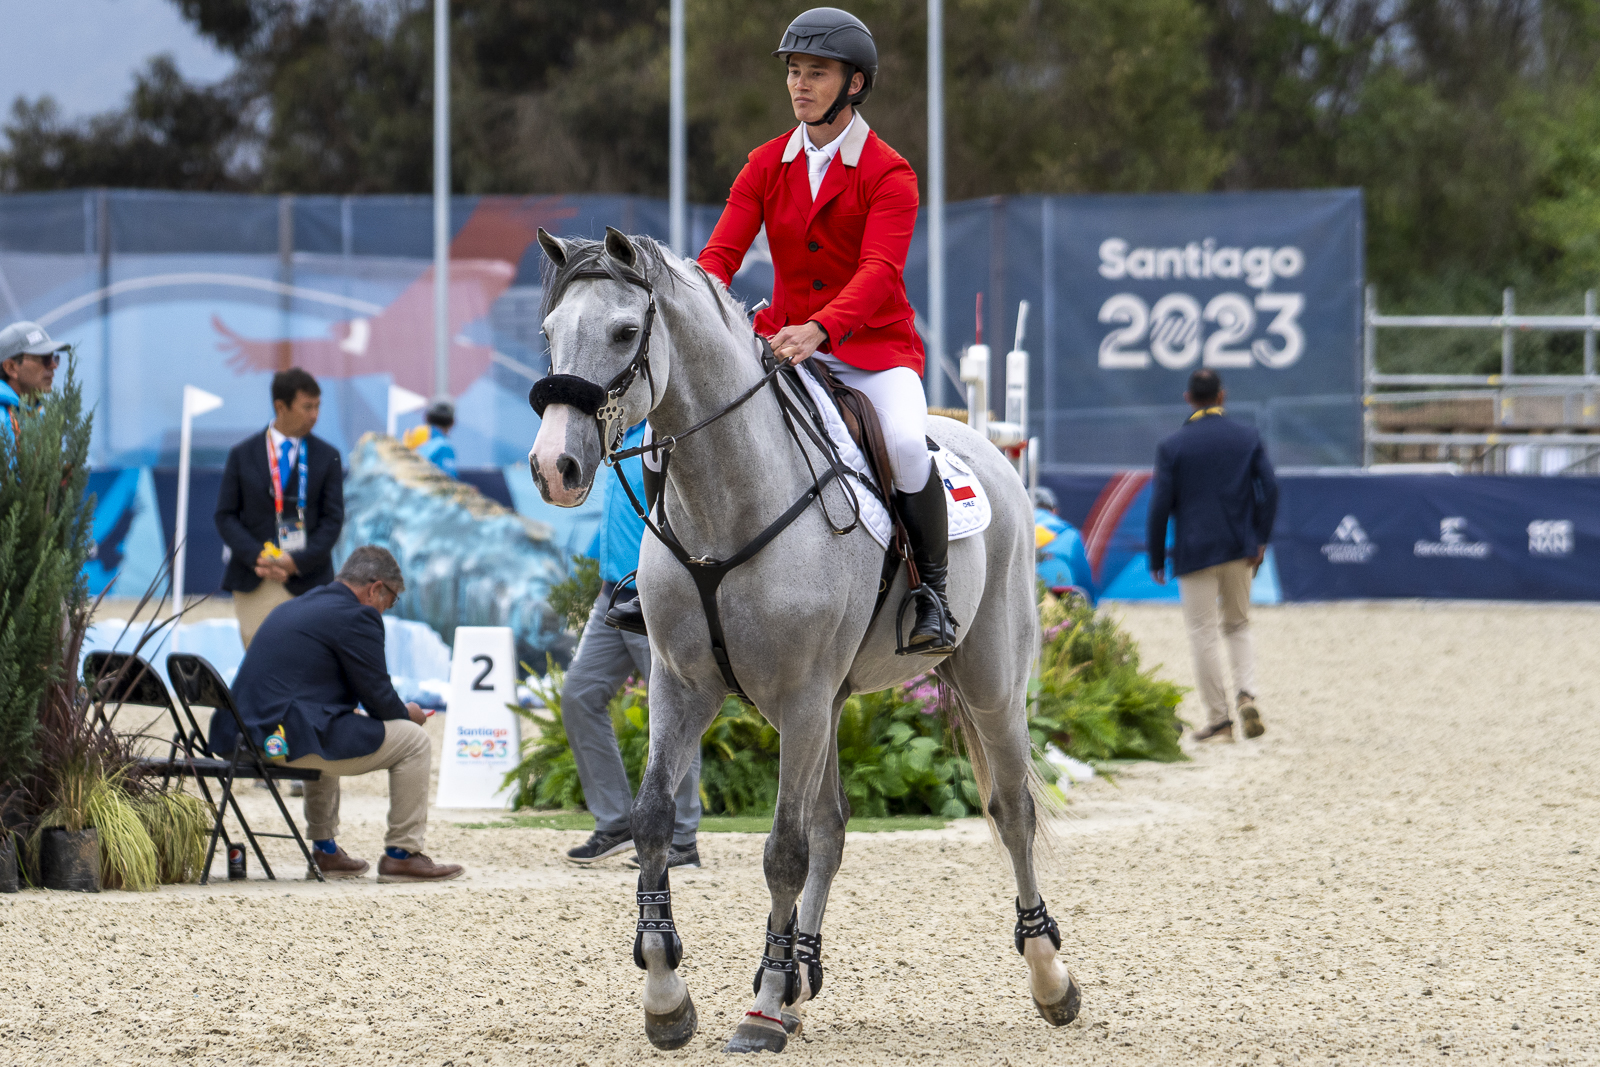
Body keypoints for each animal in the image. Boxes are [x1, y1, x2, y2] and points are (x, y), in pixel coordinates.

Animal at [528, 230, 1075, 1055]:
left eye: (625, 333)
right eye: (549, 333)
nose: (553, 468)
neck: (725, 495)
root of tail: (986, 446)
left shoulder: (802, 696)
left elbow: (782, 850)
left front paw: (756, 1011)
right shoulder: (679, 685)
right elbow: (654, 819)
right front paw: (667, 996)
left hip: (987, 683)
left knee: (1009, 811)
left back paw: (1048, 977)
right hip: (837, 702)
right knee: (834, 827)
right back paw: (793, 982)